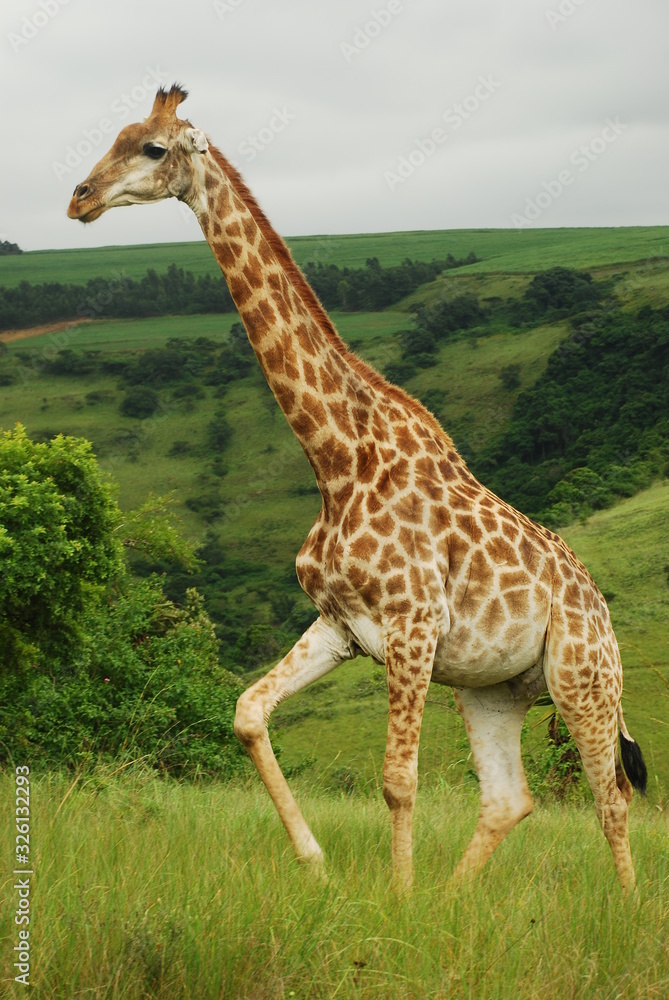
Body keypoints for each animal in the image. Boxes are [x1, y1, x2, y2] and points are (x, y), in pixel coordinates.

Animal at [67, 85, 647, 890]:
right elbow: (247, 711)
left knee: (611, 798)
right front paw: (319, 865)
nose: (78, 199)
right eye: (115, 135)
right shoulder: (341, 625)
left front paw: (396, 902)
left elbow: (397, 780)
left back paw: (618, 911)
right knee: (510, 798)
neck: (336, 459)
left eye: (152, 148)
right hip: (491, 689)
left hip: (582, 679)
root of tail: (600, 607)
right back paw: (449, 902)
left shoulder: (411, 626)